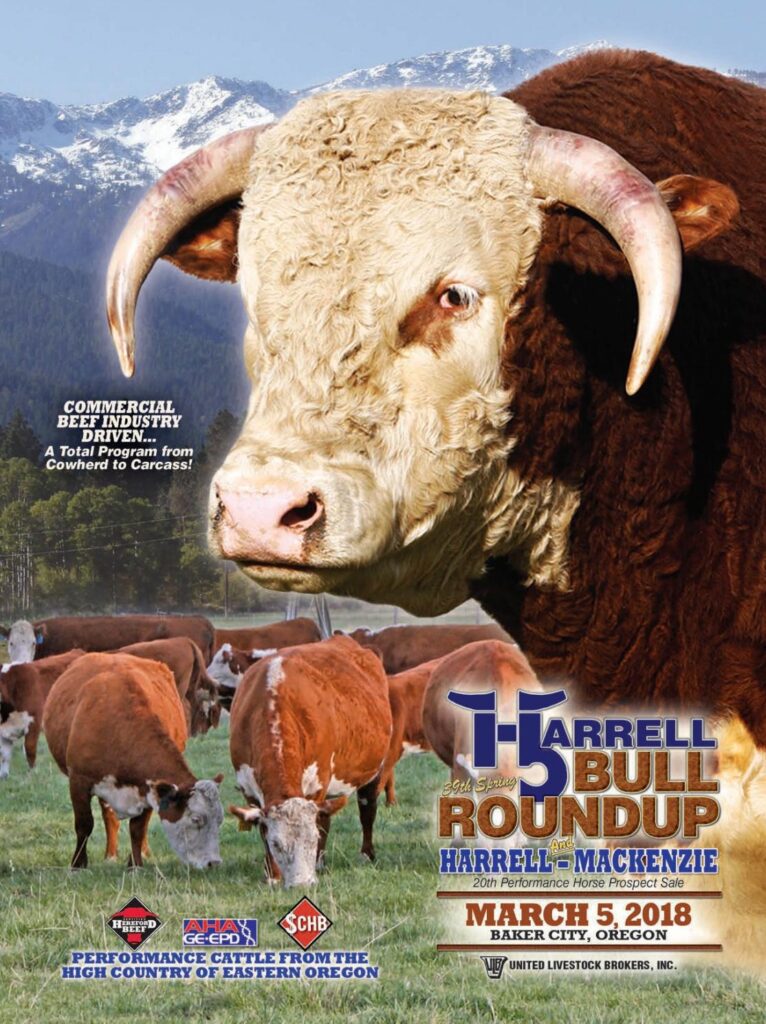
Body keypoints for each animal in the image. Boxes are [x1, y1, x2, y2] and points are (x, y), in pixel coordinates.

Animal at [43, 652, 224, 869]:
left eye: (220, 820)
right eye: (196, 819)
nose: (214, 863)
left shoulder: (147, 788)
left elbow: (138, 829)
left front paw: (135, 865)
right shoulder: (78, 780)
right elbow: (84, 824)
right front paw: (78, 864)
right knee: (108, 816)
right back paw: (110, 854)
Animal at [228, 635, 391, 886]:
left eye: (311, 840)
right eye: (277, 844)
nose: (303, 884)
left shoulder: (318, 782)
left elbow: (320, 824)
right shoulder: (248, 790)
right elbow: (262, 831)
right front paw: (272, 875)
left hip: (374, 770)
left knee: (366, 810)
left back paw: (364, 854)